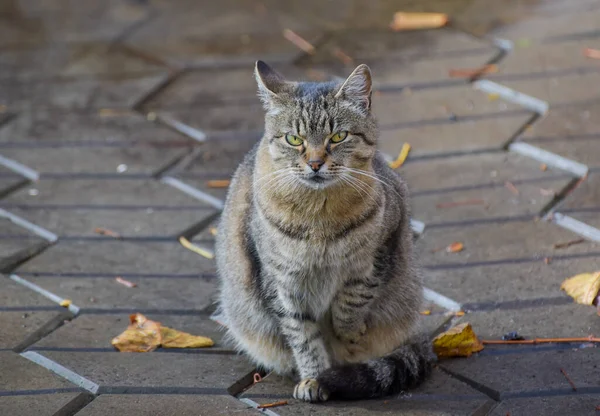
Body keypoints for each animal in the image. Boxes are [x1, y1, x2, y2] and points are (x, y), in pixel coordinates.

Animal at [213, 60, 434, 402]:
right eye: (294, 139)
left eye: (338, 136)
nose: (315, 163)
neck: (320, 217)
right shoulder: (282, 284)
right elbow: (304, 338)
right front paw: (314, 378)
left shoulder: (378, 253)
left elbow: (352, 300)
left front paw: (348, 334)